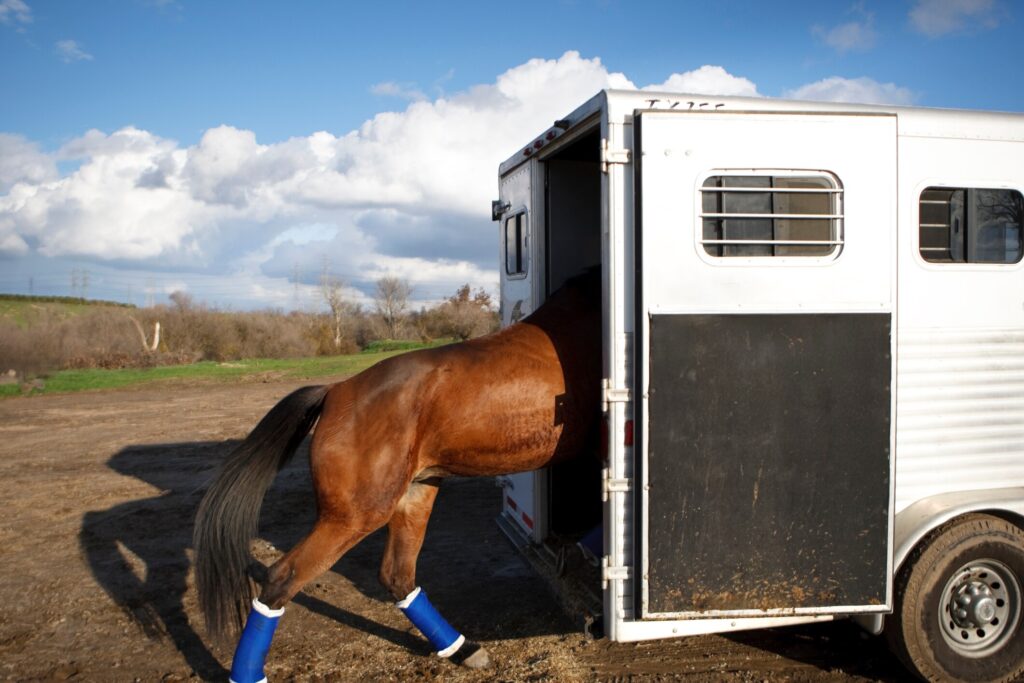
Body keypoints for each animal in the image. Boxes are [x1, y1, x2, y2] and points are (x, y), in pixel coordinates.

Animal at [193, 268, 601, 680]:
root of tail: (336, 391)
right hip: (355, 516)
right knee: (281, 578)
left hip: (415, 495)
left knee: (396, 576)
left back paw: (462, 648)